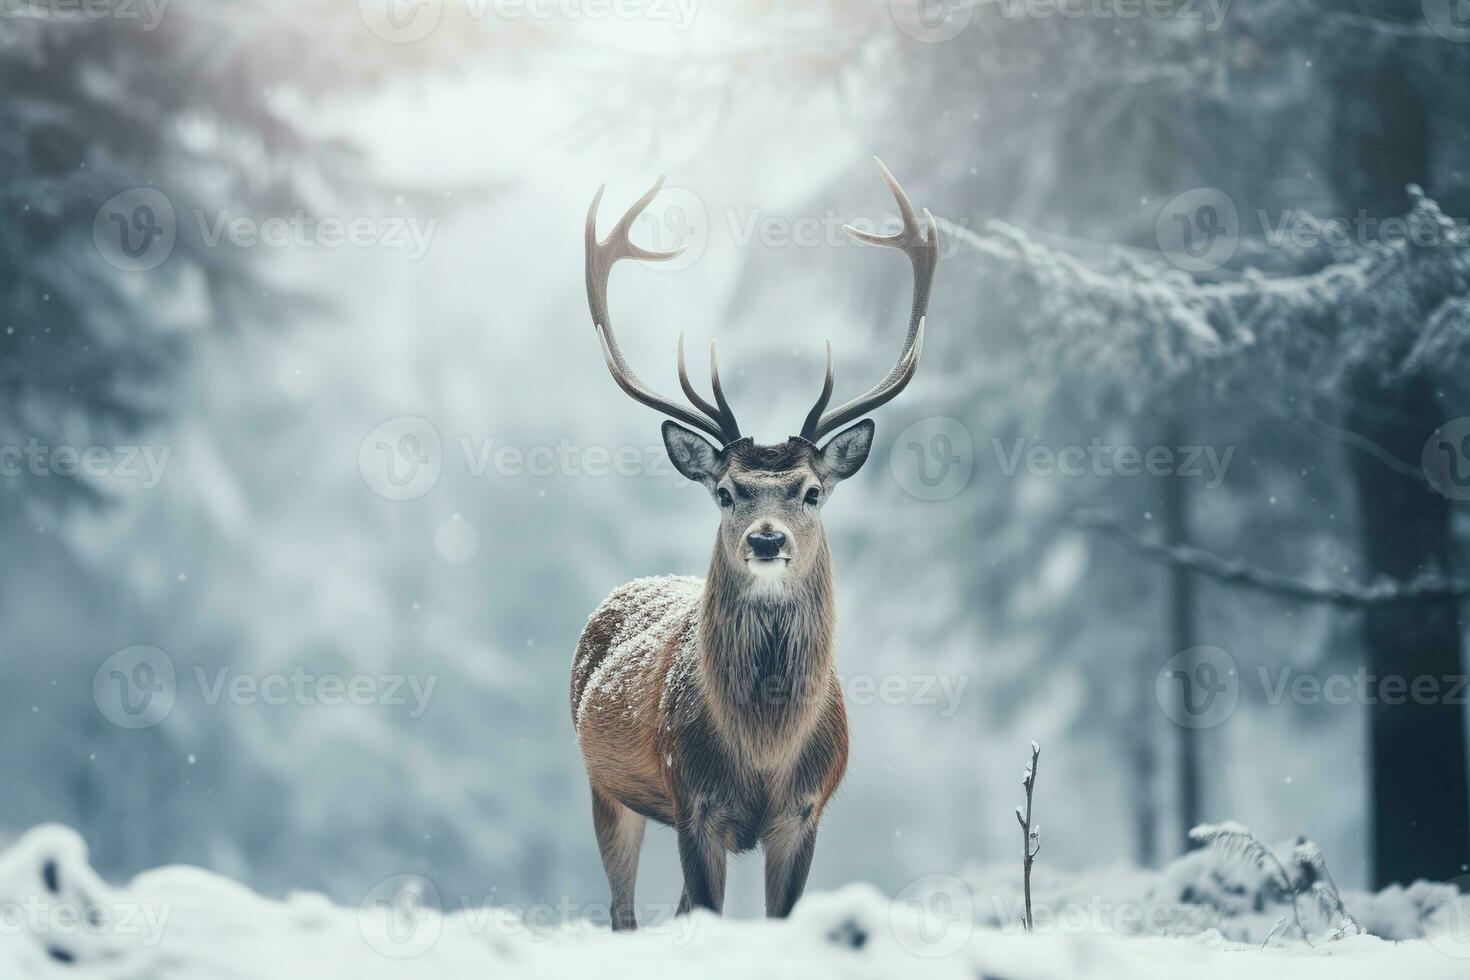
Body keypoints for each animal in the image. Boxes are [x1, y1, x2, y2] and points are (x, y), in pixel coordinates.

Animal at [567, 159, 934, 928]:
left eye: (812, 491)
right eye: (726, 492)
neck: (763, 757)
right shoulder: (694, 802)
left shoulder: (805, 810)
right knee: (623, 910)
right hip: (605, 786)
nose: (767, 541)